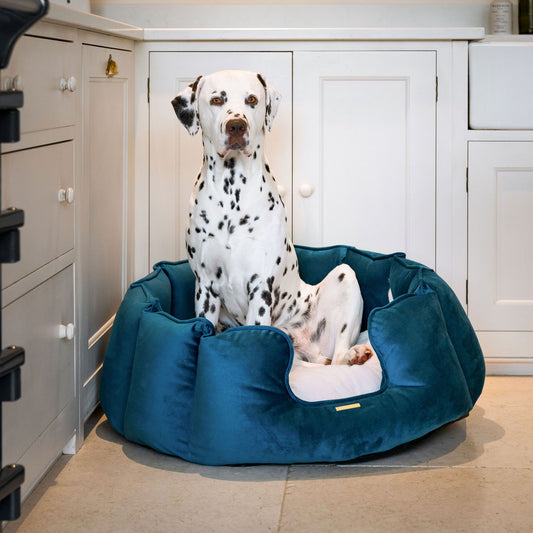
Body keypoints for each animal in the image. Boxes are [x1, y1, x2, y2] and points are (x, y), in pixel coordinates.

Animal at [172, 68, 372, 364]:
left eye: (252, 99)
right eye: (217, 100)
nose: (236, 126)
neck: (233, 194)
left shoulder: (260, 287)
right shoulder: (206, 288)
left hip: (345, 276)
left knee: (337, 358)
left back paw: (355, 354)